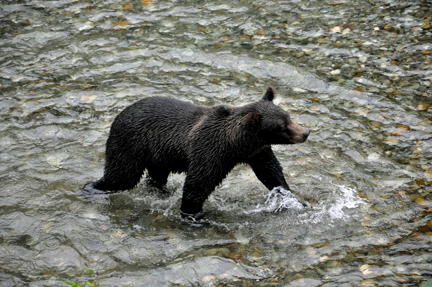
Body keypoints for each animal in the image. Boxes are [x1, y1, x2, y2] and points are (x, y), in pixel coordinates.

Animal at [87, 87, 310, 220]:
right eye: (282, 126)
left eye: (288, 117)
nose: (305, 132)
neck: (236, 145)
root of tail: (119, 115)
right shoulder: (210, 151)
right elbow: (197, 185)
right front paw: (193, 215)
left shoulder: (256, 151)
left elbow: (271, 172)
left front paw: (293, 199)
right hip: (130, 144)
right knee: (121, 176)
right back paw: (92, 188)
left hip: (158, 156)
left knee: (155, 176)